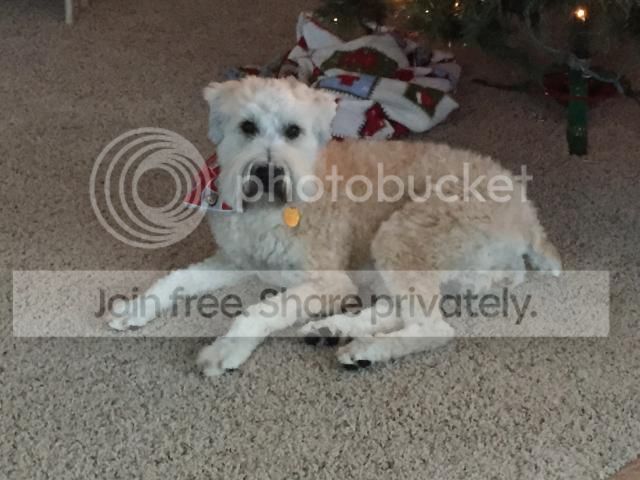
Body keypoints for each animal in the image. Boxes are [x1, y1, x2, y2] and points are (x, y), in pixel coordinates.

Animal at [109, 76, 561, 376]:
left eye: (293, 131)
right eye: (247, 127)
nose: (267, 171)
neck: (272, 209)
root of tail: (528, 215)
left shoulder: (329, 280)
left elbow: (260, 309)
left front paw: (226, 351)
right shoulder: (236, 261)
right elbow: (177, 279)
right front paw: (136, 308)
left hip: (403, 233)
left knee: (435, 327)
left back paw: (364, 350)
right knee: (402, 310)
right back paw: (333, 328)